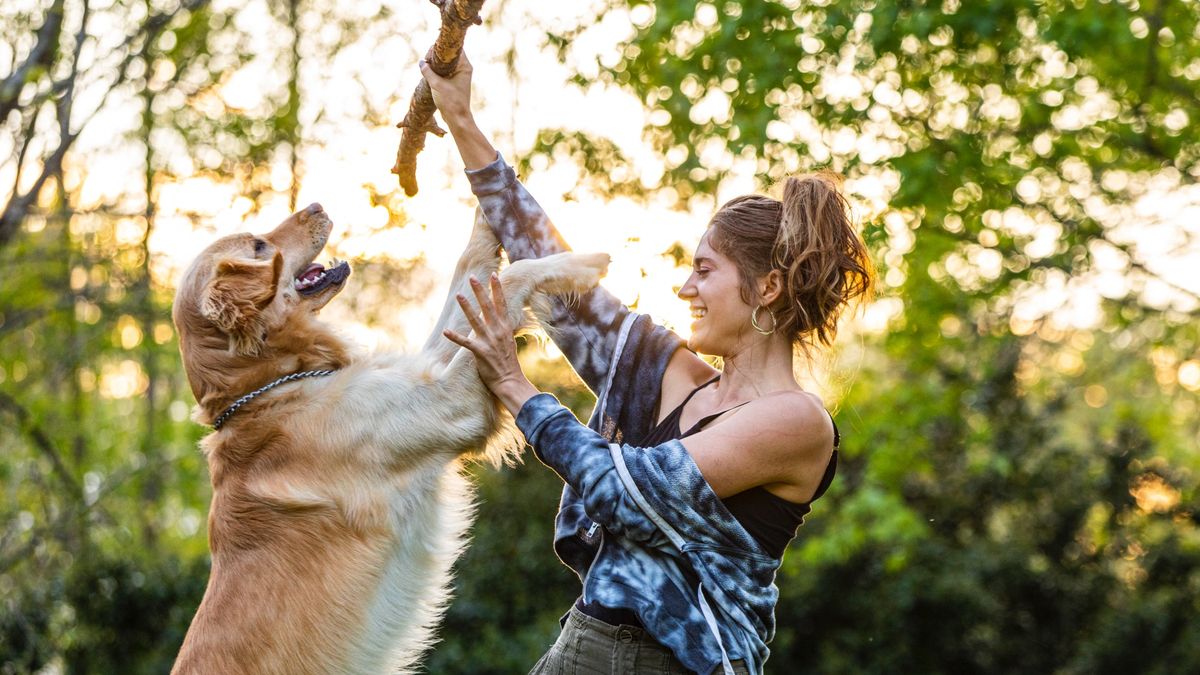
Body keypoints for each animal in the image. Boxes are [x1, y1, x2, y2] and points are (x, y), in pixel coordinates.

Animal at [169, 201, 609, 667]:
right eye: (257, 245)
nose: (317, 206)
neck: (268, 386)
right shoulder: (450, 404)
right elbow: (510, 280)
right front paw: (580, 263)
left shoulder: (428, 372)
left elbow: (468, 275)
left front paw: (486, 209)